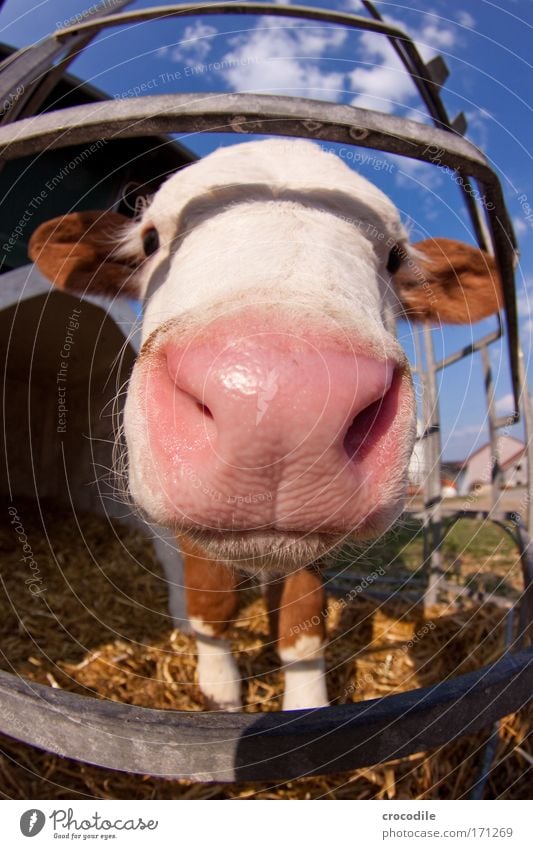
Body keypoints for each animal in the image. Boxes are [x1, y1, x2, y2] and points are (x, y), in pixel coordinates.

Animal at [30, 137, 502, 708]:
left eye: (395, 257)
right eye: (150, 240)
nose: (282, 402)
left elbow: (301, 626)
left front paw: (305, 706)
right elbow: (211, 608)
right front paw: (220, 693)